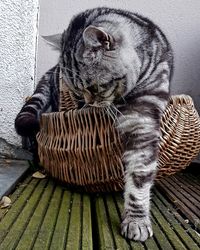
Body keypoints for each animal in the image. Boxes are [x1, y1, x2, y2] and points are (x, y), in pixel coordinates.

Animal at [15, 7, 173, 242]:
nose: (86, 104)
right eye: (77, 91)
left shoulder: (143, 121)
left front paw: (136, 220)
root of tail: (51, 70)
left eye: (93, 87)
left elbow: (139, 175)